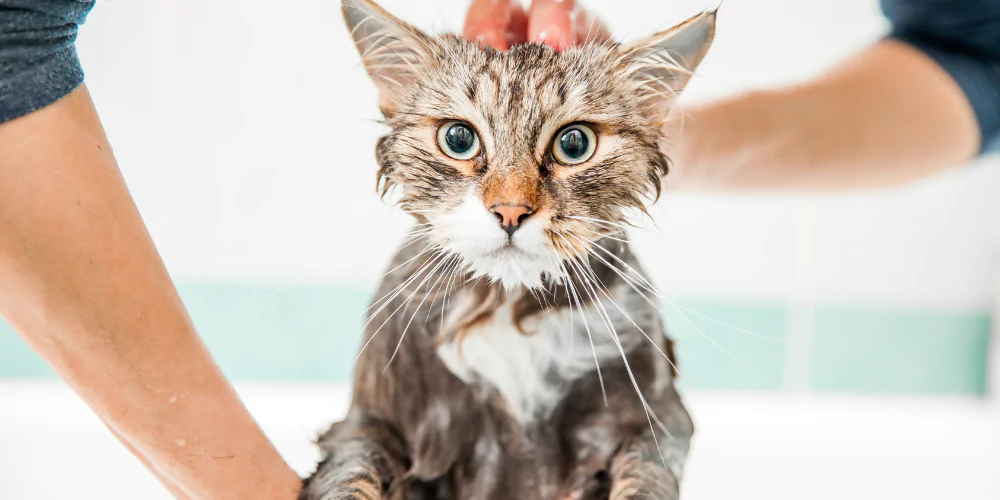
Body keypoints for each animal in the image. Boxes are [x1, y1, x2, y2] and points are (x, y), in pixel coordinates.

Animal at [300, 1, 716, 498]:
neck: (507, 307)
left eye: (574, 143)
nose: (511, 211)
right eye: (459, 139)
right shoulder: (368, 423)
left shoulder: (657, 423)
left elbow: (644, 479)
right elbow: (350, 478)